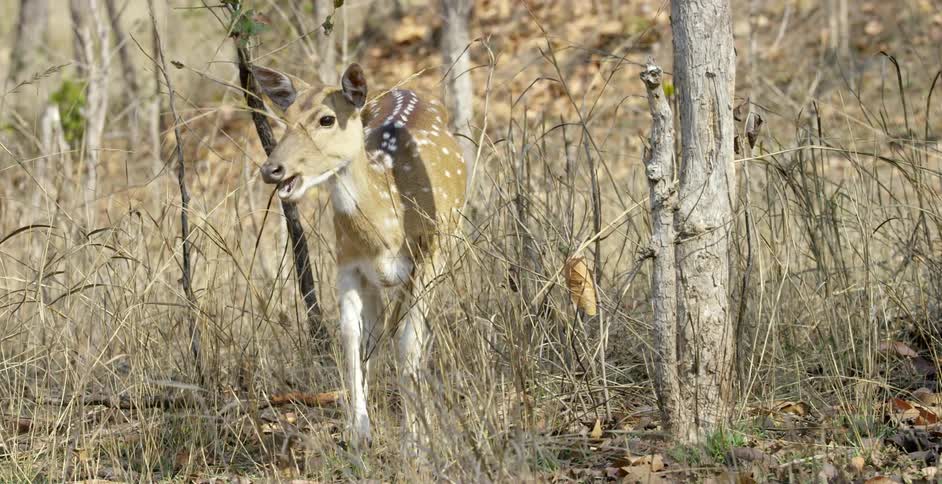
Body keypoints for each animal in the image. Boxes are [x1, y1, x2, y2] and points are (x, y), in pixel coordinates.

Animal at [254, 63, 467, 452]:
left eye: (326, 118)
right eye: (285, 118)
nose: (271, 169)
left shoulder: (428, 256)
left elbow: (408, 341)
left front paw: (413, 442)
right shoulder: (347, 264)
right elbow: (353, 337)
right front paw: (358, 431)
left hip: (446, 245)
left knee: (412, 331)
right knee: (378, 329)